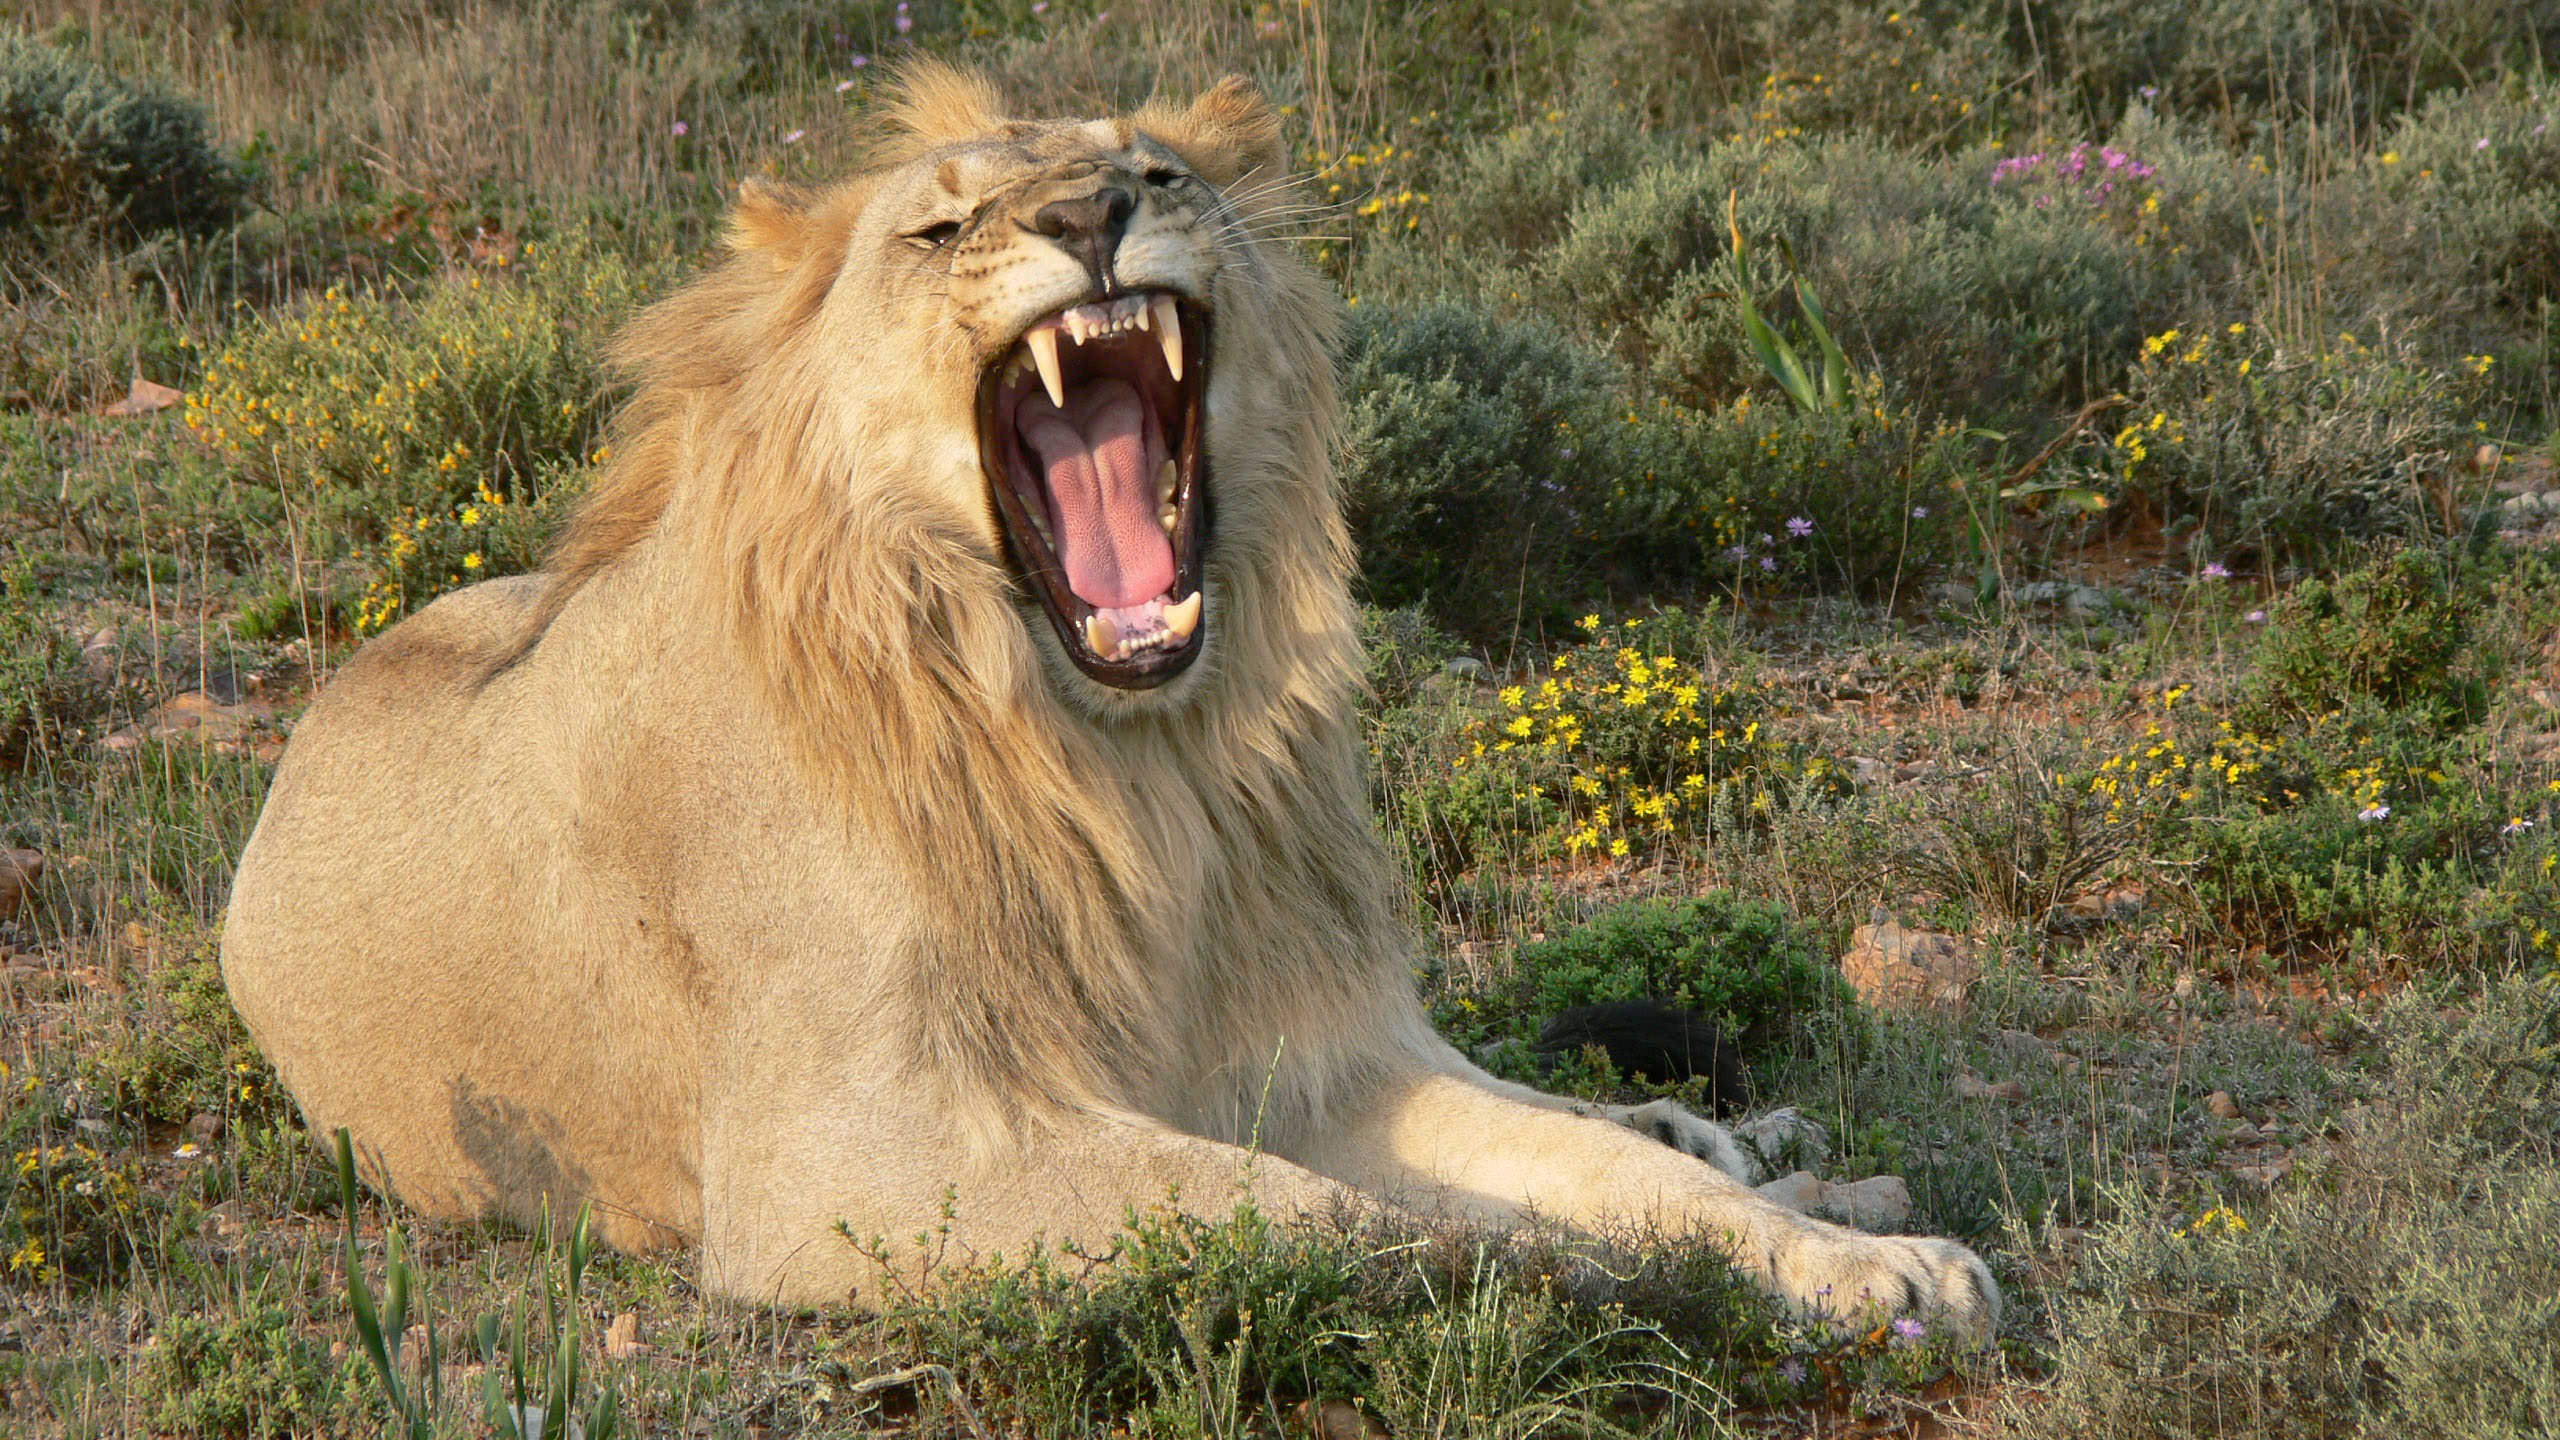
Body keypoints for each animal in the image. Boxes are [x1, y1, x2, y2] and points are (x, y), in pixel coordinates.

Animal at [219, 66, 1997, 1335]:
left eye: (1156, 172)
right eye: (939, 231)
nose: (1090, 217)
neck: (1140, 769)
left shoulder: (1316, 1060)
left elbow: (1584, 1167)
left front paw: (1856, 1263)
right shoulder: (852, 1163)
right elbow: (1330, 1213)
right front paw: (1618, 1281)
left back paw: (1782, 1163)